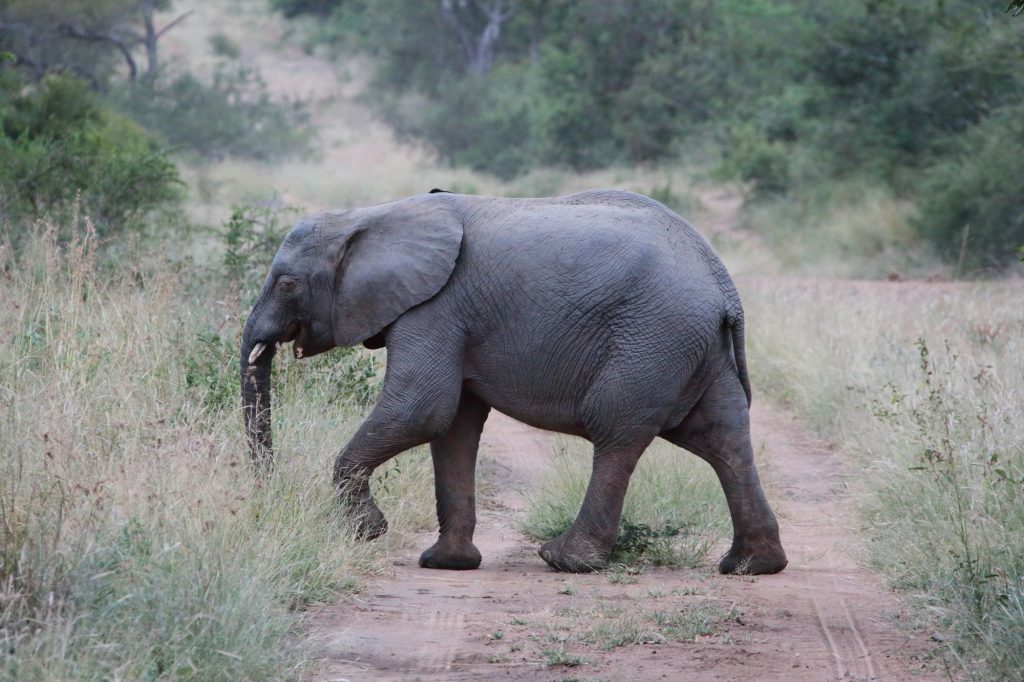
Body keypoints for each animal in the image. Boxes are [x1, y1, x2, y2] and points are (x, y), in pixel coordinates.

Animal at [237, 187, 782, 573]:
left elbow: (422, 409)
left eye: (286, 284)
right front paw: (446, 564)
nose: (264, 495)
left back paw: (565, 560)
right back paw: (751, 566)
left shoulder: (436, 308)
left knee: (617, 433)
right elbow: (453, 426)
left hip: (653, 338)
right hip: (695, 349)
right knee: (722, 439)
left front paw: (368, 531)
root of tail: (723, 287)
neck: (370, 214)